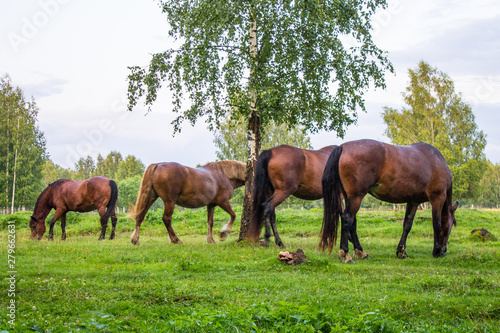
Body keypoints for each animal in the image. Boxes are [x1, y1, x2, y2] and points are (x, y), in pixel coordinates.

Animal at [320, 138, 458, 262]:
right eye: (450, 226)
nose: (444, 250)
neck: (436, 161)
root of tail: (342, 147)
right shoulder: (437, 198)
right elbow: (437, 224)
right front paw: (436, 251)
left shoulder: (413, 201)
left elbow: (407, 225)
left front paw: (402, 252)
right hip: (356, 197)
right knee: (347, 219)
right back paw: (346, 254)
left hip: (349, 197)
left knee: (352, 222)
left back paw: (360, 252)